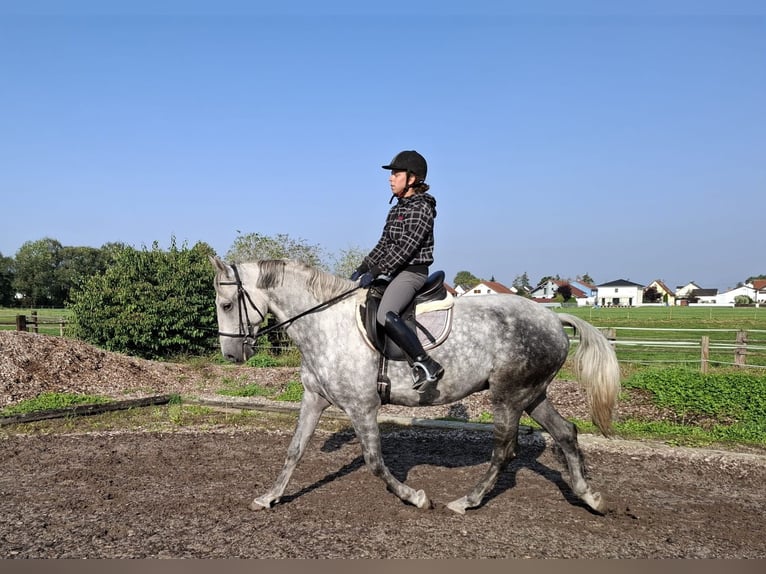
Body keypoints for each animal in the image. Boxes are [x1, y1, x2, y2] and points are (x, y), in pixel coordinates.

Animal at [212, 258, 624, 516]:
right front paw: (269, 497)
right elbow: (294, 451)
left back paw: (466, 502)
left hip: (507, 396)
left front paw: (415, 498)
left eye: (228, 304)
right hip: (531, 394)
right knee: (566, 432)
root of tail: (554, 318)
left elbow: (375, 462)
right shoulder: (315, 399)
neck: (324, 322)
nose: (231, 354)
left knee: (504, 451)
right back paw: (591, 498)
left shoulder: (362, 406)